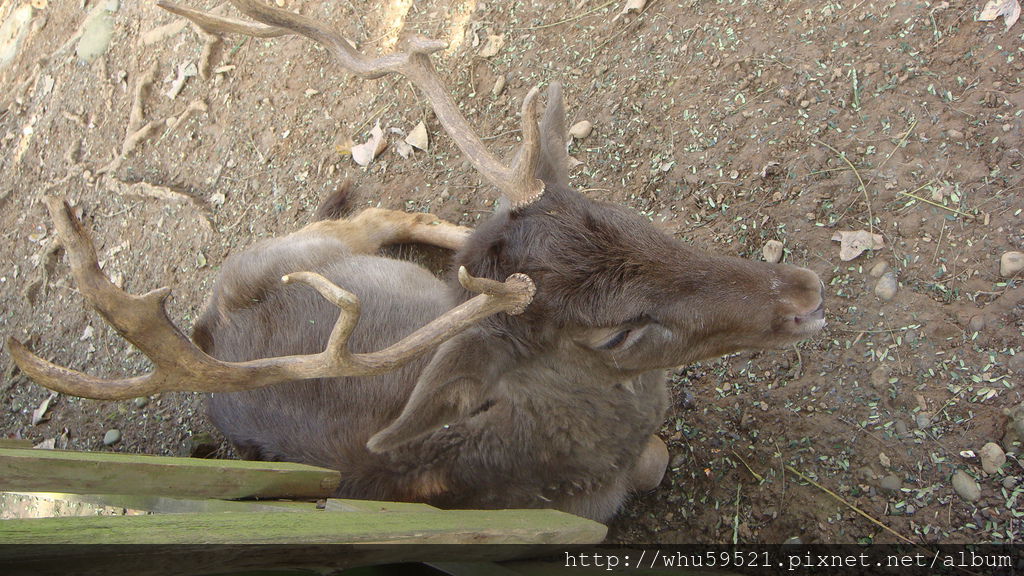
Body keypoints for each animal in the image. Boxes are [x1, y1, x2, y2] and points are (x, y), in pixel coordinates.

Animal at [8, 0, 823, 520]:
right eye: (614, 332)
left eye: (632, 216)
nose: (805, 291)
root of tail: (205, 324)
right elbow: (657, 461)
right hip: (309, 246)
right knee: (375, 213)